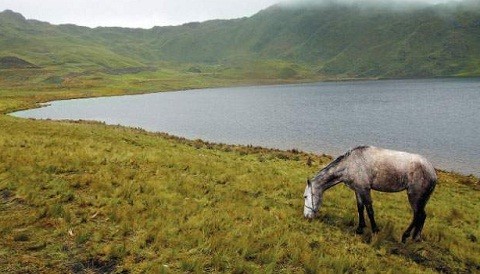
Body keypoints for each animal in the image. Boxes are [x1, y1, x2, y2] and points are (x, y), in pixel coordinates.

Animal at [306, 146, 436, 242]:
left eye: (306, 196)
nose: (306, 217)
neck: (350, 164)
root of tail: (433, 172)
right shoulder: (358, 189)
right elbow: (360, 207)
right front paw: (360, 228)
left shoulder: (365, 189)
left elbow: (369, 209)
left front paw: (375, 230)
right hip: (422, 199)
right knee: (422, 215)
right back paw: (416, 237)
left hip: (414, 196)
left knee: (417, 215)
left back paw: (405, 236)